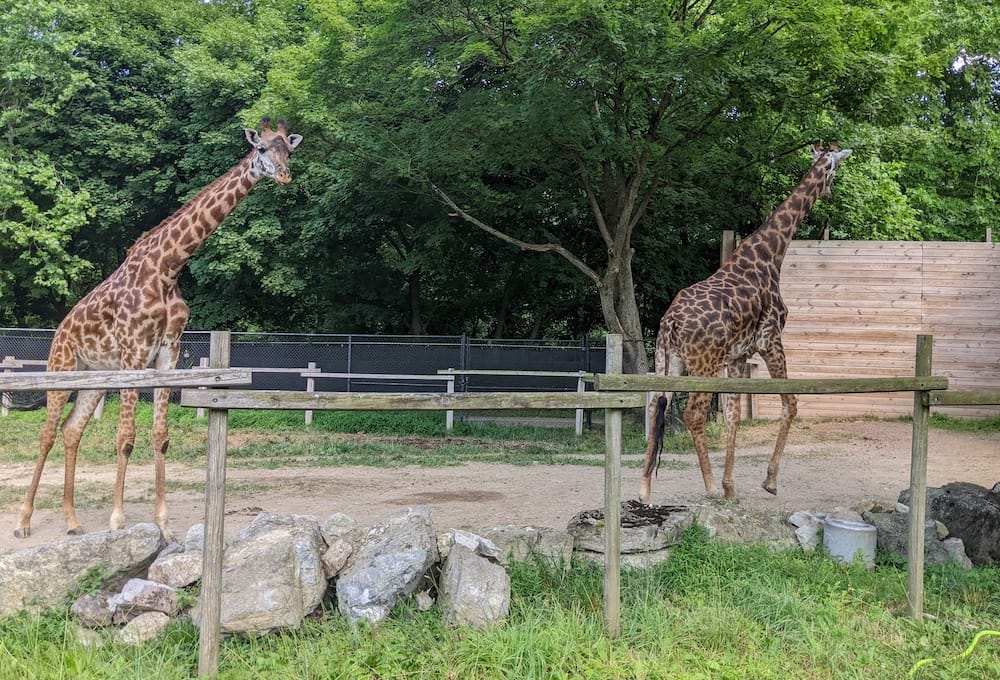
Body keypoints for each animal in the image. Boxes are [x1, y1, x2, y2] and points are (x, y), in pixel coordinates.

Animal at [14, 117, 302, 539]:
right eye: (262, 149)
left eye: (289, 150)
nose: (283, 175)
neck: (168, 269)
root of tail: (59, 331)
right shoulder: (134, 354)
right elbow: (125, 438)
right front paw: (118, 520)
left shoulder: (167, 354)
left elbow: (160, 437)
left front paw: (163, 524)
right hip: (62, 369)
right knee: (48, 433)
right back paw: (23, 521)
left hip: (94, 378)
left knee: (72, 430)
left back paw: (72, 520)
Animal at [640, 141, 852, 504]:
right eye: (835, 168)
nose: (829, 192)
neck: (770, 255)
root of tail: (670, 324)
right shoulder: (771, 342)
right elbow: (790, 404)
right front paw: (768, 481)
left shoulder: (739, 356)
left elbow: (734, 416)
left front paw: (731, 487)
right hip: (705, 365)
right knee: (693, 413)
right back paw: (708, 485)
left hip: (669, 360)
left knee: (656, 407)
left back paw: (644, 491)